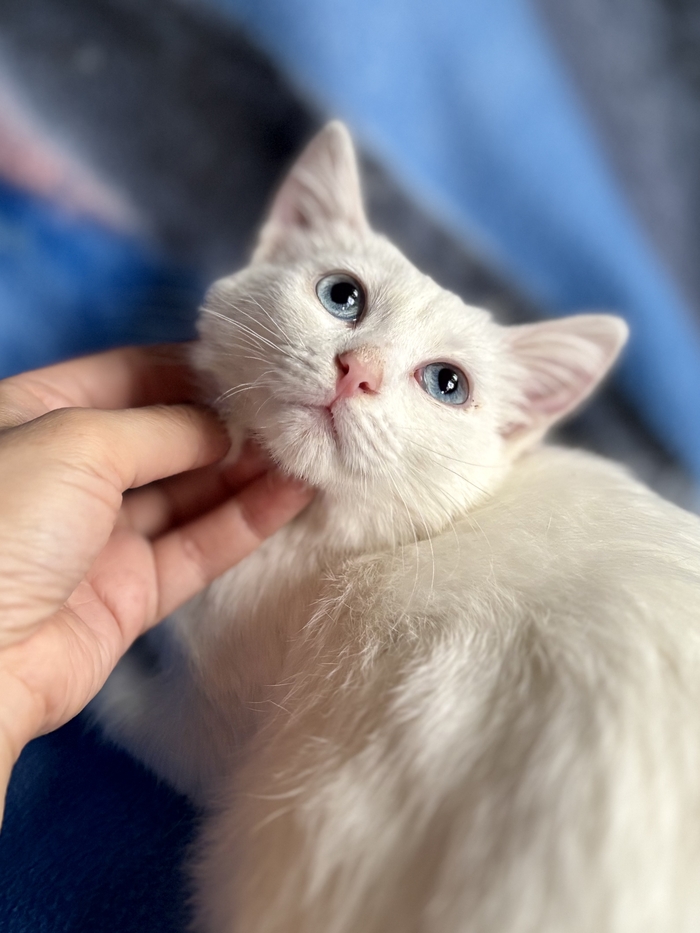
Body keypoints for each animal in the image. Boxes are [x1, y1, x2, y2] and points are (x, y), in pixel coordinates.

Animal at [95, 122, 700, 933]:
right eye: (341, 295)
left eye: (448, 384)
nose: (359, 370)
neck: (310, 537)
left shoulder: (214, 736)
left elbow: (135, 717)